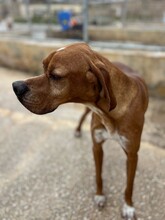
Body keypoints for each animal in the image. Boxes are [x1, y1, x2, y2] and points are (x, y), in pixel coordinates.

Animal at [11, 42, 148, 219]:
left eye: (55, 76)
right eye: (43, 67)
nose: (15, 86)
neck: (110, 114)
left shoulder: (132, 154)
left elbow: (129, 185)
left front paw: (129, 206)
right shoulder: (97, 146)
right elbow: (98, 175)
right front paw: (99, 196)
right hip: (87, 112)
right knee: (83, 116)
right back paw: (77, 130)